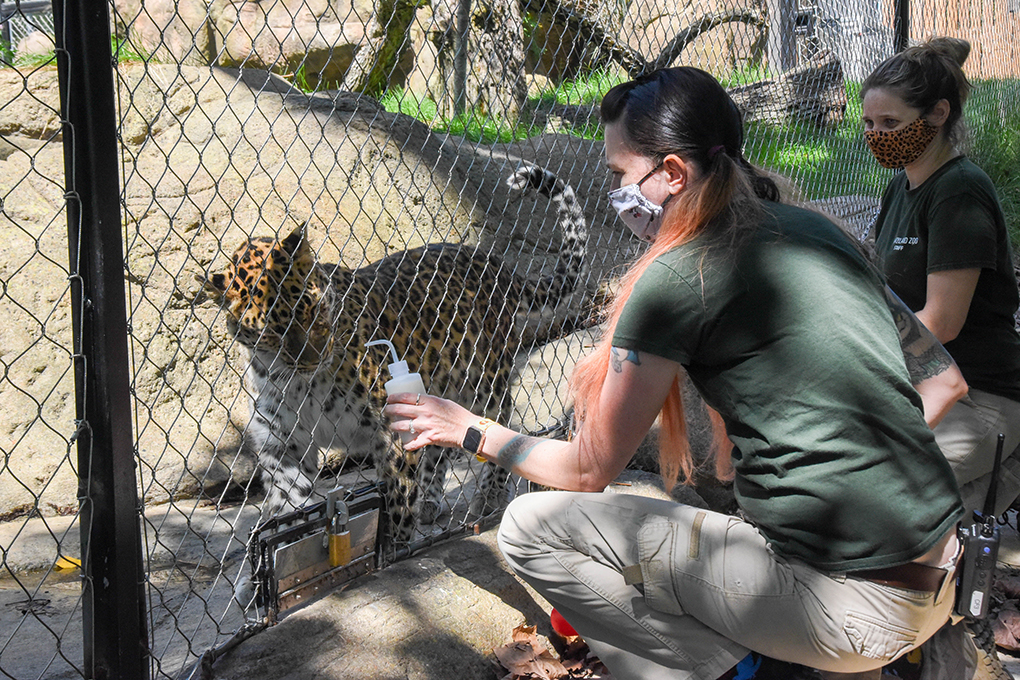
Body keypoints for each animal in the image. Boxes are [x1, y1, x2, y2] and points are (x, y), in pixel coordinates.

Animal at [196, 167, 591, 546]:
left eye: (312, 310)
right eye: (270, 332)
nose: (312, 358)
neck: (299, 381)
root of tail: (492, 260)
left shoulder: (390, 429)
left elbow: (398, 498)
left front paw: (396, 546)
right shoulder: (282, 439)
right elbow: (289, 500)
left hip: (483, 377)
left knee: (498, 418)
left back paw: (489, 494)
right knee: (440, 444)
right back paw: (431, 500)